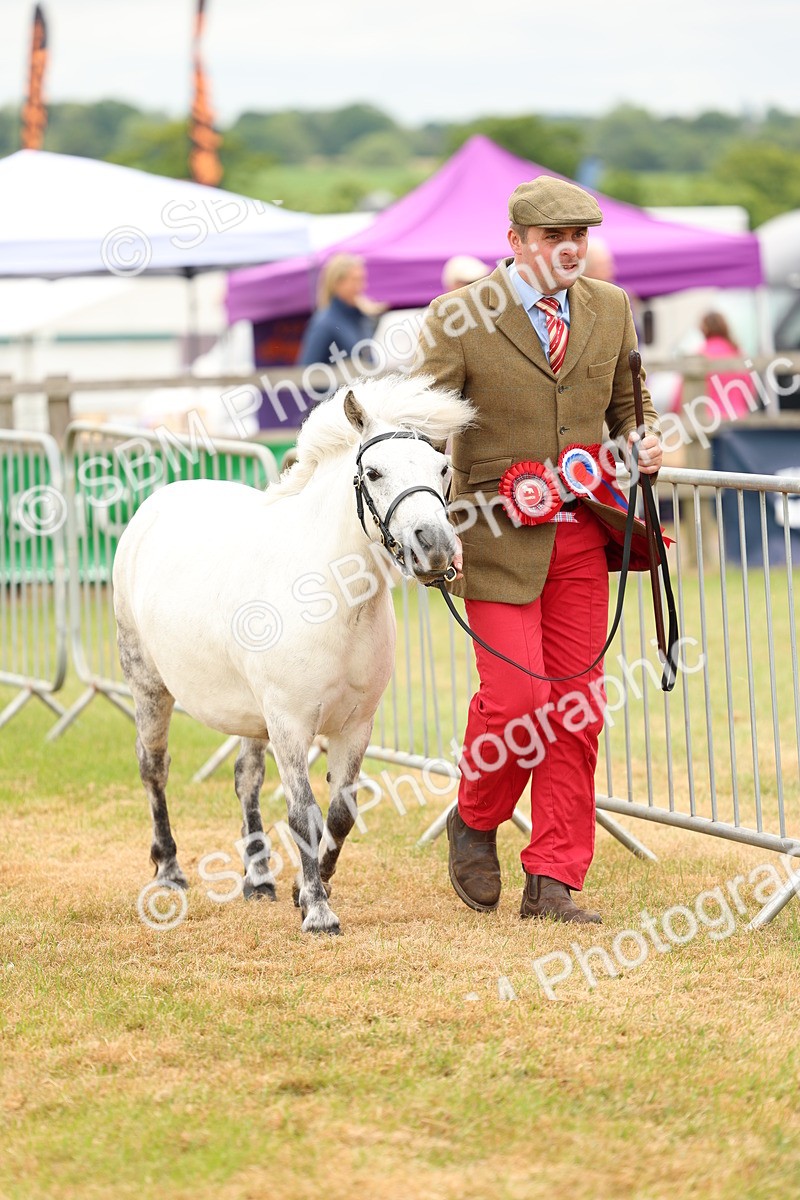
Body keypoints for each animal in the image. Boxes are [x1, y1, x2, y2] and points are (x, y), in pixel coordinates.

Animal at [113, 374, 475, 934]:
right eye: (373, 472)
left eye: (441, 468)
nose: (434, 547)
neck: (333, 598)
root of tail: (152, 507)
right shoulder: (289, 723)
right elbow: (303, 814)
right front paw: (318, 913)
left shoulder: (355, 726)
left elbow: (340, 814)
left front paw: (310, 889)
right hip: (149, 688)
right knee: (154, 769)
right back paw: (170, 870)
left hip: (249, 716)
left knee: (246, 780)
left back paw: (258, 879)